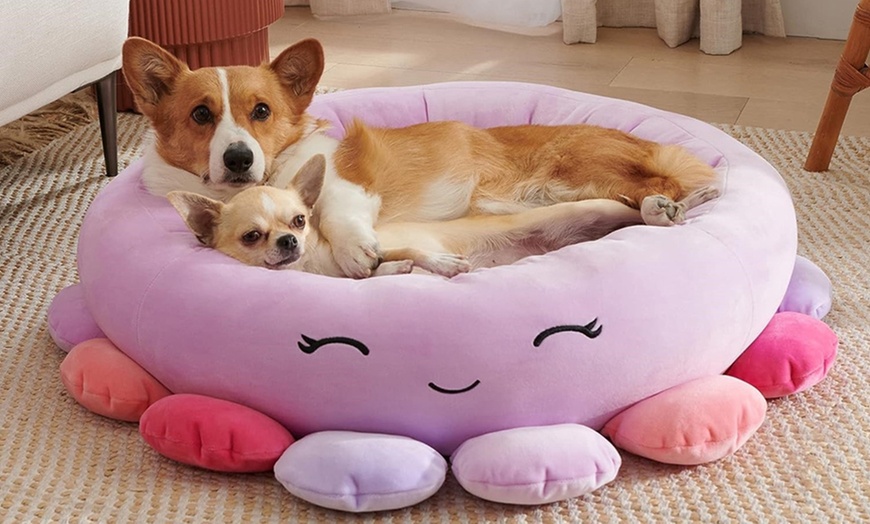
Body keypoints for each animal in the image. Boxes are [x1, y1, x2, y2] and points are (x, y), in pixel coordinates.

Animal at [122, 37, 724, 278]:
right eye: (202, 115)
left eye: (262, 111)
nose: (239, 158)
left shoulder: (345, 189)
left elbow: (338, 212)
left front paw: (356, 252)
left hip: (577, 178)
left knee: (663, 190)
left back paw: (669, 204)